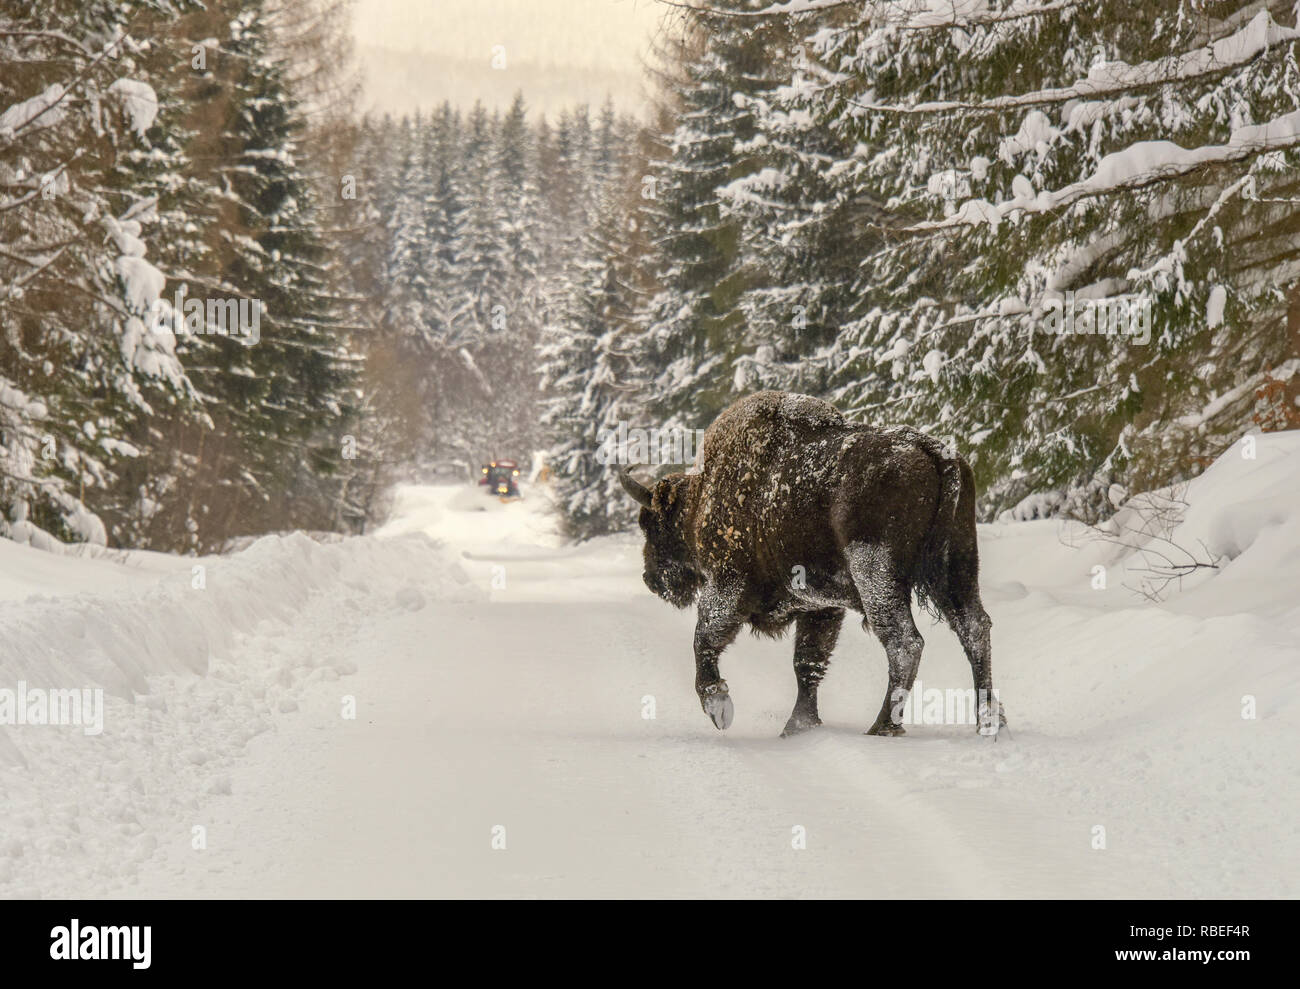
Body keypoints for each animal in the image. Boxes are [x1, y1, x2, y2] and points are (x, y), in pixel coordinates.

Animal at [618, 391, 1004, 738]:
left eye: (652, 525)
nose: (651, 578)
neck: (703, 498)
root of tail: (936, 453)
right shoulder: (820, 607)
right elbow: (808, 662)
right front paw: (799, 726)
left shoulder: (729, 584)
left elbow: (705, 637)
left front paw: (719, 707)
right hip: (957, 568)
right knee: (974, 628)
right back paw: (989, 720)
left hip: (877, 576)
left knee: (904, 642)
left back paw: (883, 727)